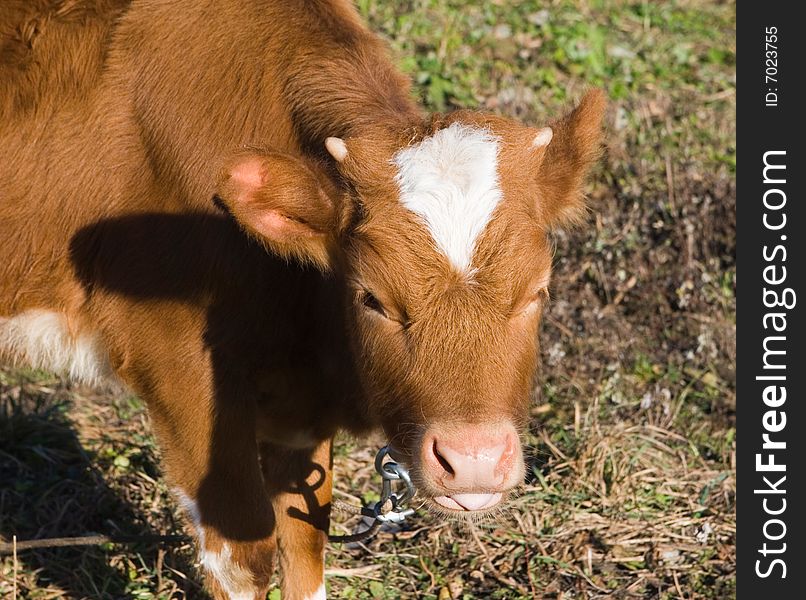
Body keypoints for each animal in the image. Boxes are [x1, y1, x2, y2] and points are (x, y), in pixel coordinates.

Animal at [1, 2, 608, 596]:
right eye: (371, 298)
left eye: (536, 291)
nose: (474, 461)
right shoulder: (177, 365)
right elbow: (242, 551)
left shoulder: (299, 406)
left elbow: (305, 536)